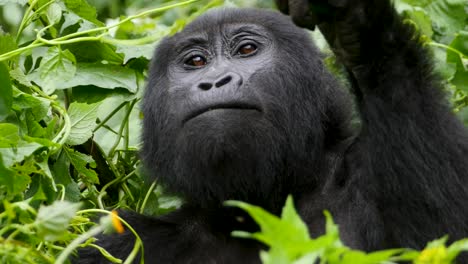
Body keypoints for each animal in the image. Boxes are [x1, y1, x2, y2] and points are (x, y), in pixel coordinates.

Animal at [76, 0, 468, 262]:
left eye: (247, 49)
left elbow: (443, 240)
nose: (214, 81)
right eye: (196, 61)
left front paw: (361, 28)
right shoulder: (125, 239)